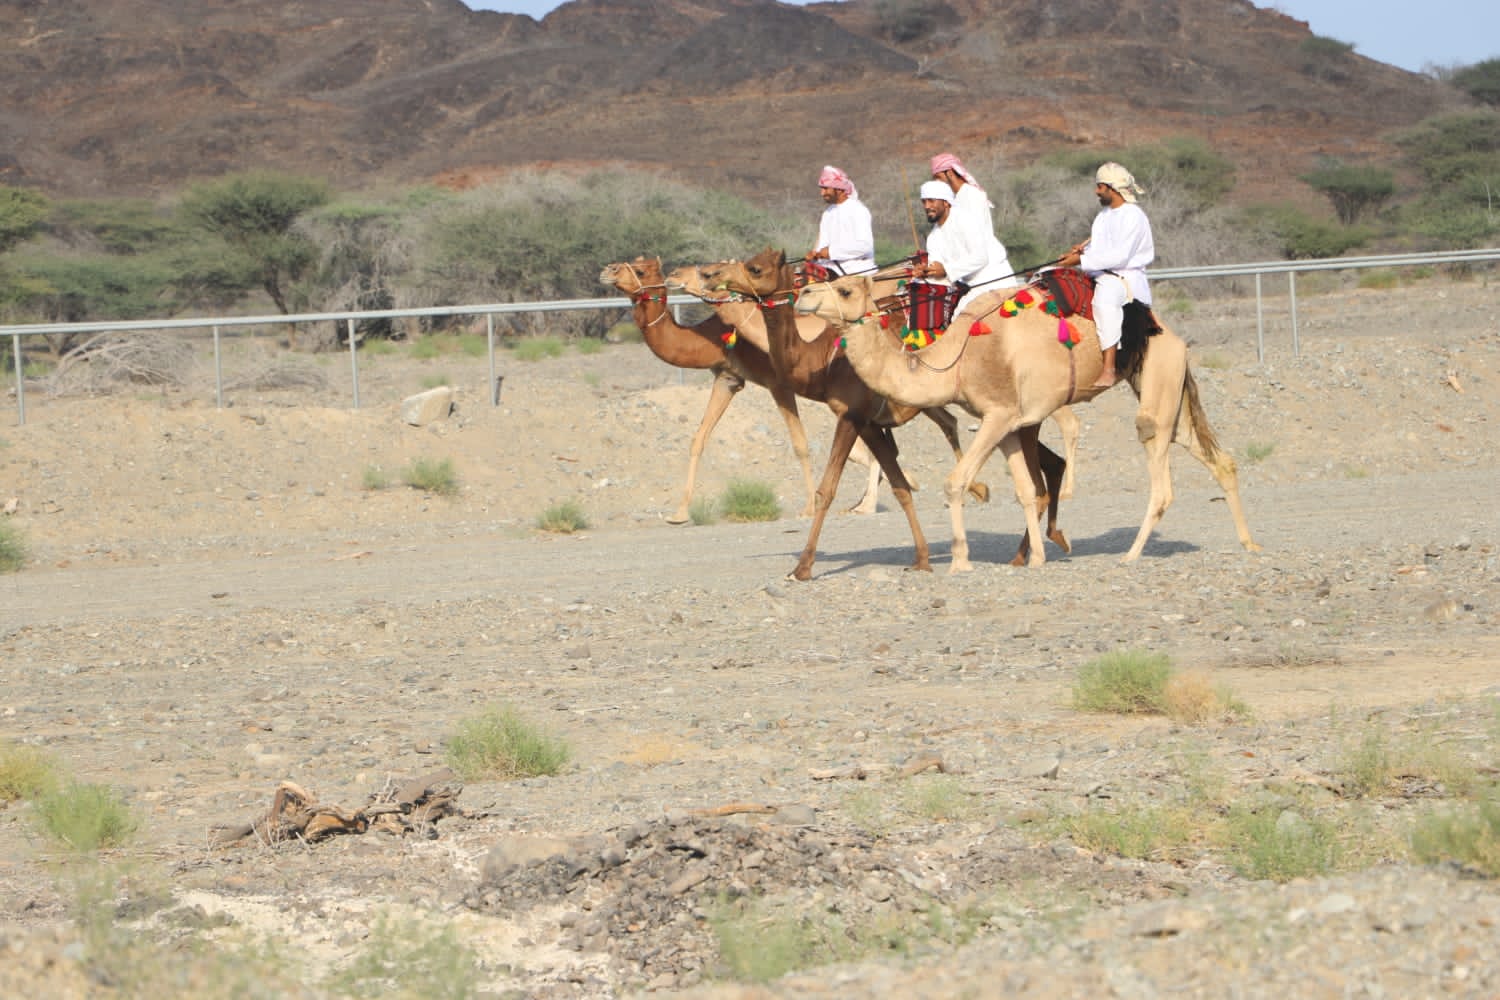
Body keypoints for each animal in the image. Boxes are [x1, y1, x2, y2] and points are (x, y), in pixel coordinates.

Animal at [698, 248, 1070, 581]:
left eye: (755, 268)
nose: (710, 275)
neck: (821, 361)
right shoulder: (870, 424)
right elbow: (901, 487)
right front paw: (922, 559)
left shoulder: (851, 416)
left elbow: (827, 490)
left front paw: (802, 568)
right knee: (1051, 465)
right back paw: (1042, 543)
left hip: (1019, 413)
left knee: (1040, 475)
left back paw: (1027, 550)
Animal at [795, 271, 1260, 571]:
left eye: (844, 289)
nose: (802, 294)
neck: (958, 360)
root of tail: (1172, 336)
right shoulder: (1011, 425)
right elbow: (1024, 490)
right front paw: (1035, 559)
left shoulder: (998, 414)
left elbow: (957, 481)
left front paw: (960, 559)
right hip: (1166, 388)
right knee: (1217, 457)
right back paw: (1248, 542)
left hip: (1157, 384)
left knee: (1157, 464)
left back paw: (1131, 554)